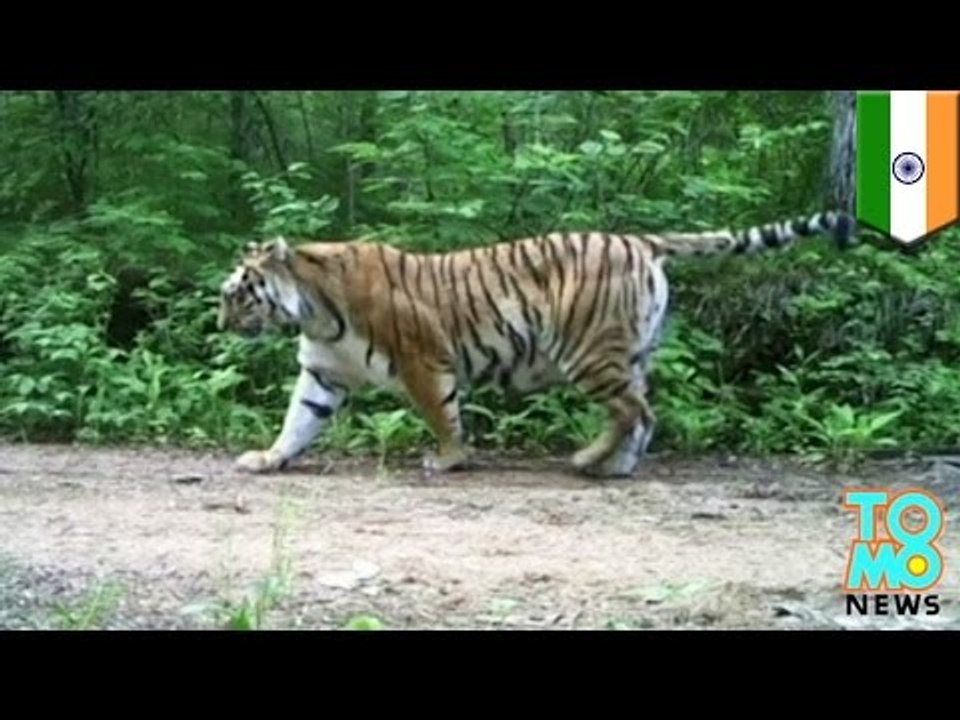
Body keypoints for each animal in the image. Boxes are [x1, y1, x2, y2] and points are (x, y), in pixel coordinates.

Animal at [217, 210, 854, 478]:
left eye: (239, 294)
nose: (222, 324)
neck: (314, 311)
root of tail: (641, 240)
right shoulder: (323, 373)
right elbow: (299, 421)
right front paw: (269, 458)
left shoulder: (425, 361)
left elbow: (443, 416)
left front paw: (449, 461)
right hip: (628, 355)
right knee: (641, 413)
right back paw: (613, 467)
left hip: (589, 352)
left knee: (635, 411)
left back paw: (592, 463)